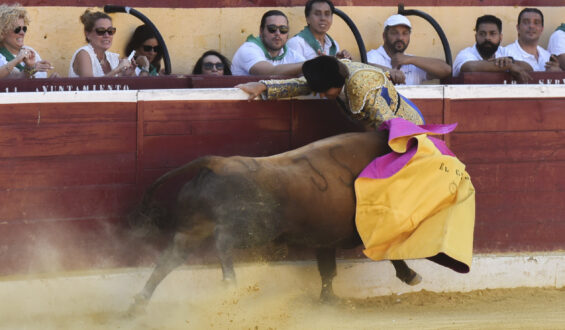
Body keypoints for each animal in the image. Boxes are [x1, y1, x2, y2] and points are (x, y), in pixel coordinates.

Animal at [128, 130, 418, 310]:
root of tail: (218, 163)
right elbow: (394, 253)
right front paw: (411, 276)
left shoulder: (325, 240)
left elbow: (328, 270)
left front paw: (329, 300)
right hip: (255, 228)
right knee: (222, 241)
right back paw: (230, 281)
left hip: (192, 229)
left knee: (169, 259)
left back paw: (138, 304)